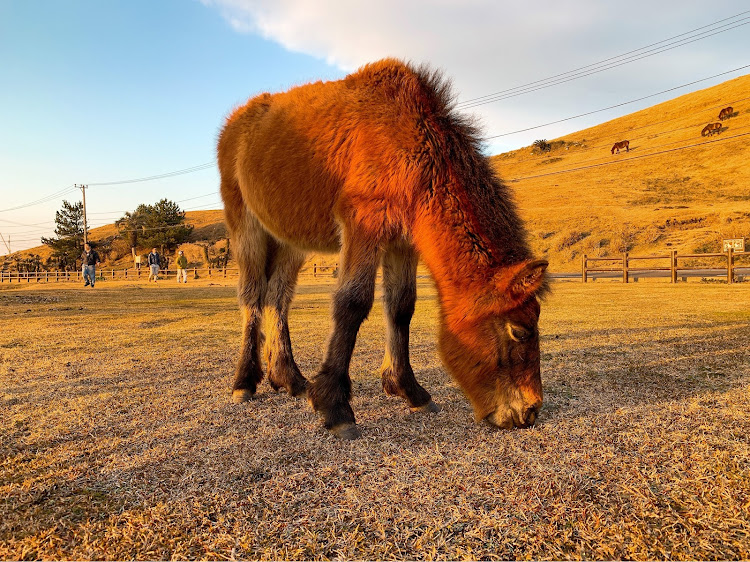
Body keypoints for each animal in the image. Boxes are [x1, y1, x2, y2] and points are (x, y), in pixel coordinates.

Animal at [220, 60, 548, 438]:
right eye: (519, 331)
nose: (530, 412)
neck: (408, 141)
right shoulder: (364, 225)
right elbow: (352, 303)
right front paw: (335, 405)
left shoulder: (402, 243)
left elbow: (401, 307)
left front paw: (408, 389)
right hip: (247, 230)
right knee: (252, 297)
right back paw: (244, 383)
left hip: (290, 243)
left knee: (277, 298)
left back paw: (289, 379)